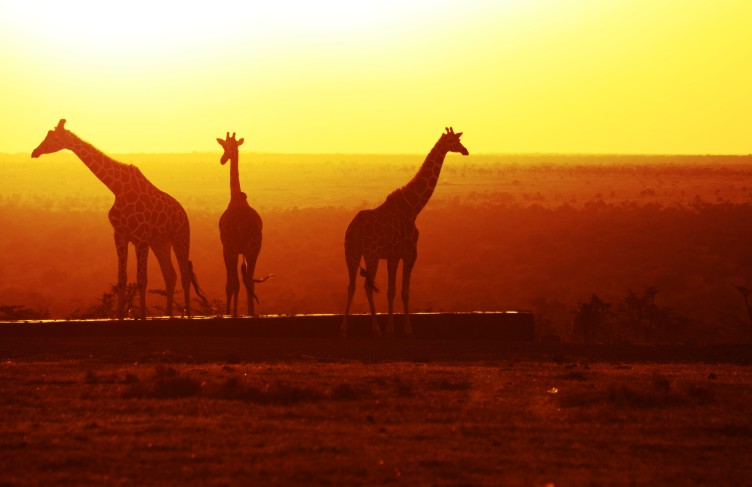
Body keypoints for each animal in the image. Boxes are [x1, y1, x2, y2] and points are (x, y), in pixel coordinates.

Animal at [31, 119, 206, 319]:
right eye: (47, 135)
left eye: (53, 138)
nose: (35, 152)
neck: (118, 189)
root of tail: (184, 213)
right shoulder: (120, 235)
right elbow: (121, 279)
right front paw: (120, 315)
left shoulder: (140, 238)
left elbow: (141, 279)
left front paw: (142, 316)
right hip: (160, 242)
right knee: (170, 275)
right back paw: (169, 314)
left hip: (180, 237)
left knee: (185, 275)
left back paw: (188, 314)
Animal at [217, 132, 265, 317]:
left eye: (225, 146)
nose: (223, 159)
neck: (236, 197)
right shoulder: (243, 251)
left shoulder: (227, 249)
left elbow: (230, 284)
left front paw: (230, 312)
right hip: (254, 250)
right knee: (249, 281)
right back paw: (251, 312)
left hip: (233, 248)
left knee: (237, 282)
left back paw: (238, 312)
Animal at [342, 127, 469, 337]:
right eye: (452, 142)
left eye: (458, 140)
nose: (465, 150)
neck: (413, 208)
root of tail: (351, 230)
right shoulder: (407, 254)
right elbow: (399, 291)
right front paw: (400, 328)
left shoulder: (395, 256)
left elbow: (397, 291)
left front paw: (396, 327)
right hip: (370, 254)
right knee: (367, 286)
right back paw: (375, 327)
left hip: (351, 253)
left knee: (351, 286)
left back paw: (345, 327)